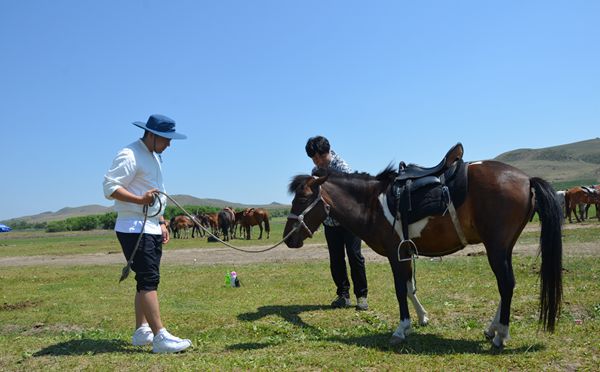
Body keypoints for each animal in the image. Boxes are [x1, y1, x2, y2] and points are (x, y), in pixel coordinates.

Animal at [282, 154, 564, 348]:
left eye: (303, 198)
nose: (288, 238)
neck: (373, 203)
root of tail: (526, 180)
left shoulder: (395, 254)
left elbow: (400, 290)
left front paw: (401, 328)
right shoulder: (405, 253)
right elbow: (409, 288)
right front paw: (421, 319)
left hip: (496, 248)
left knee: (506, 285)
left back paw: (501, 336)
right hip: (503, 248)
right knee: (507, 286)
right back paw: (492, 329)